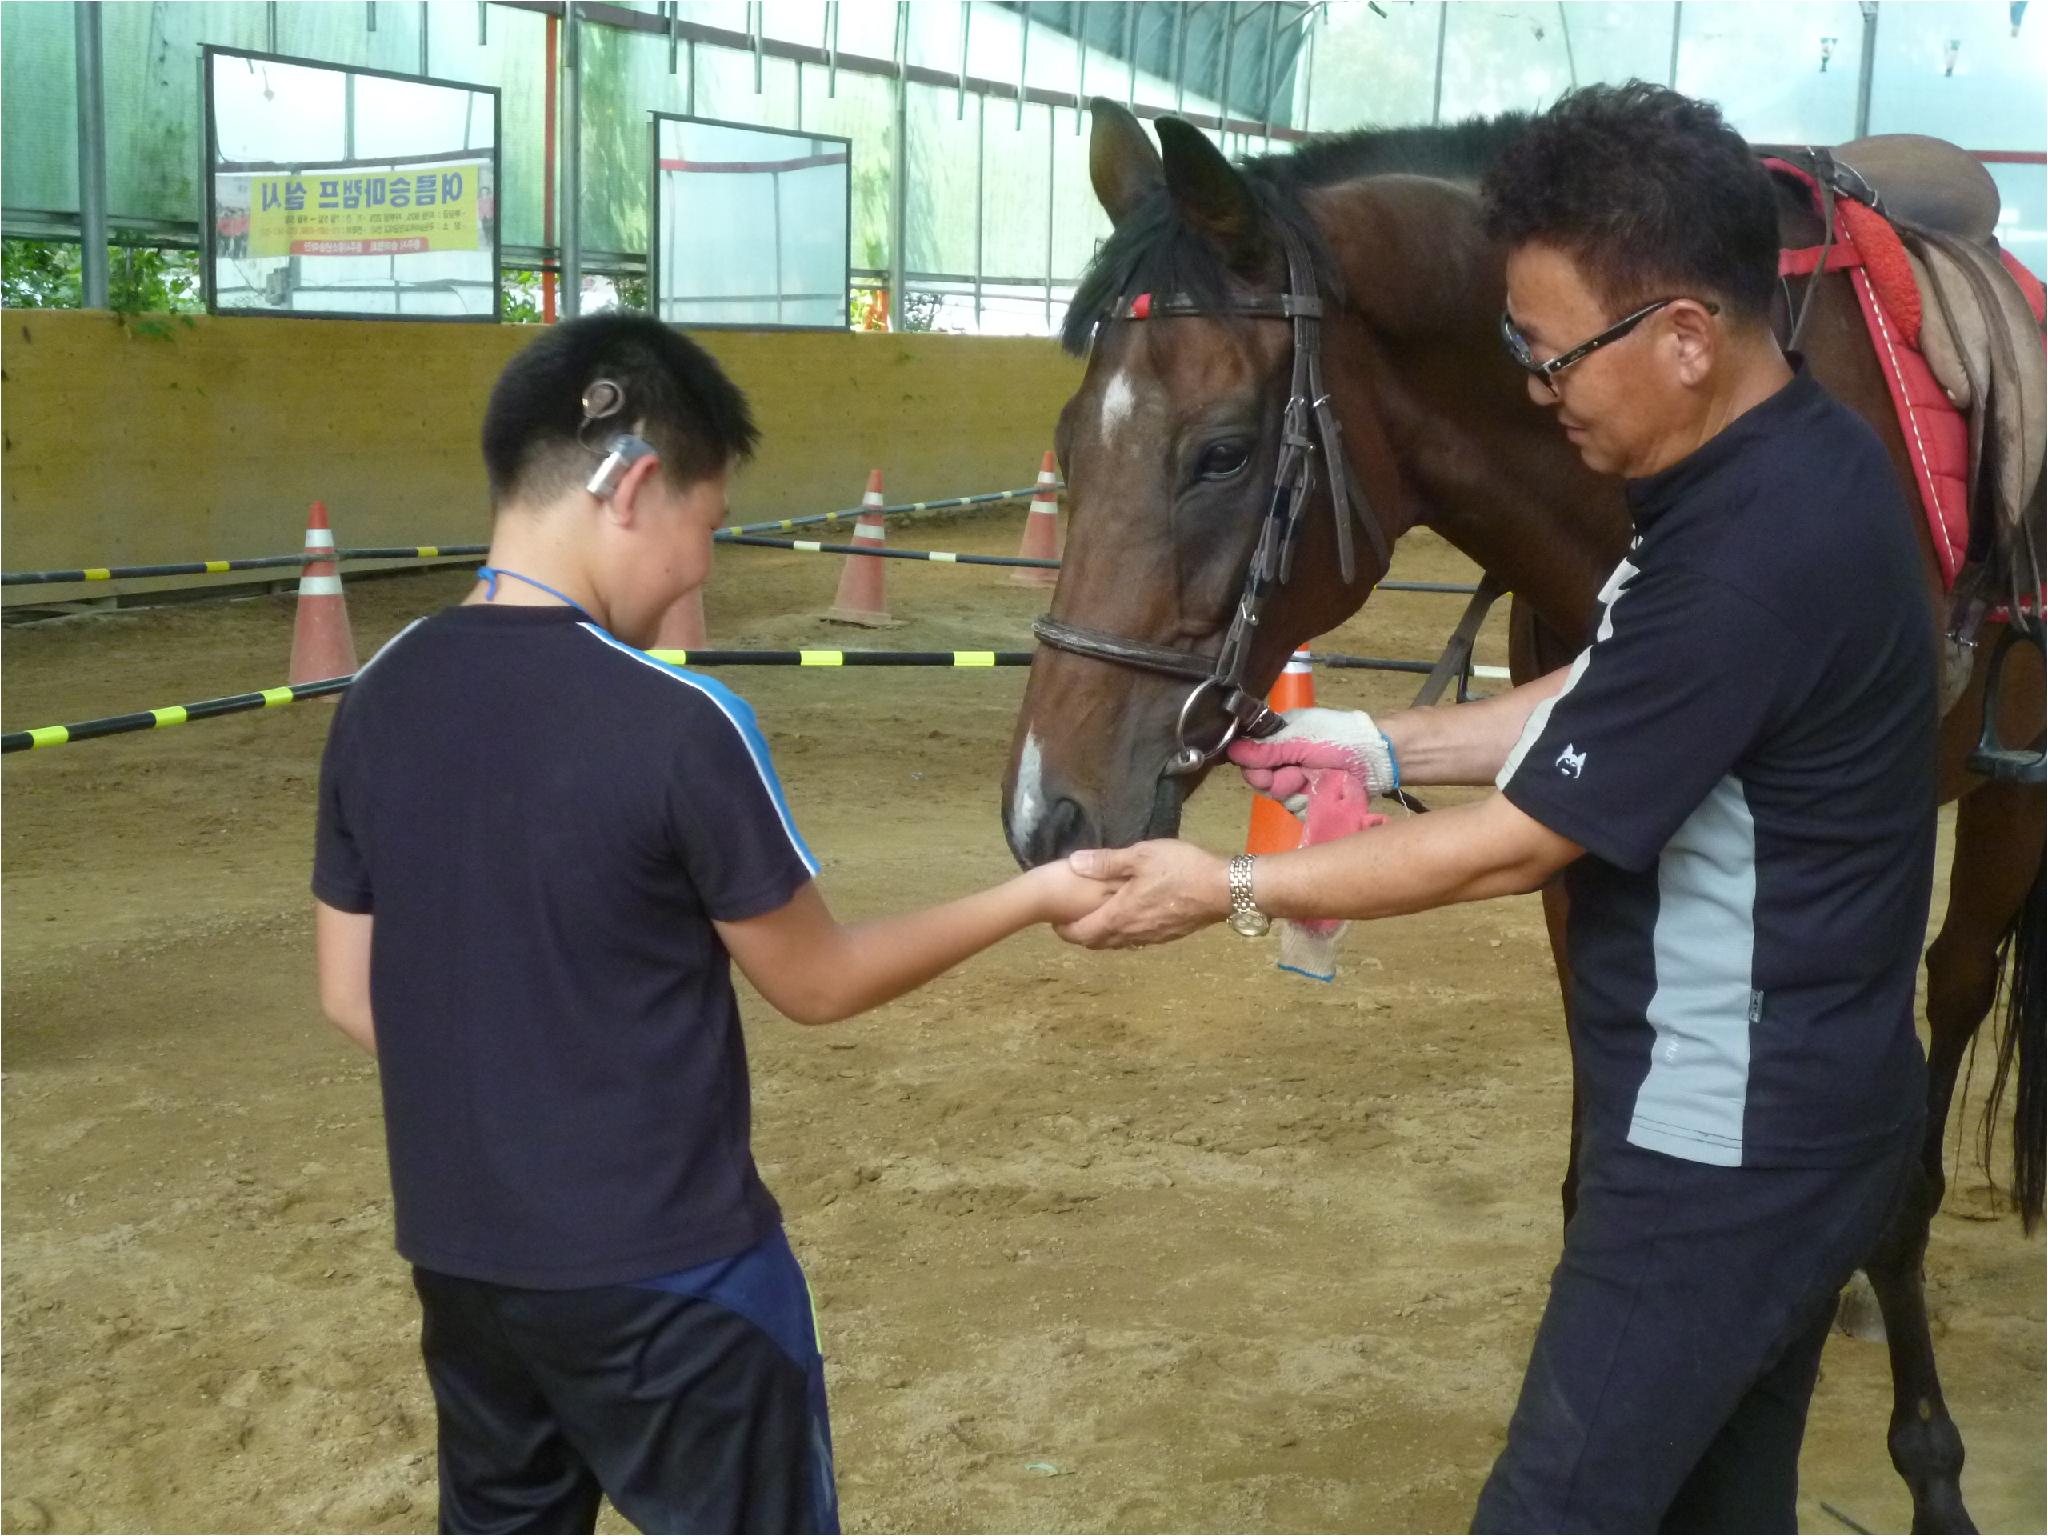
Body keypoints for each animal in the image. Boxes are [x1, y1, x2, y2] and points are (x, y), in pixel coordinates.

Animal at [1011, 102, 2048, 1531]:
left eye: (1219, 453)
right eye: (1067, 441)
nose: (1046, 817)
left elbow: (1880, 1166)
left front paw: (1930, 1465)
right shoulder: (1578, 852)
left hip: (2005, 808)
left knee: (1947, 1006)